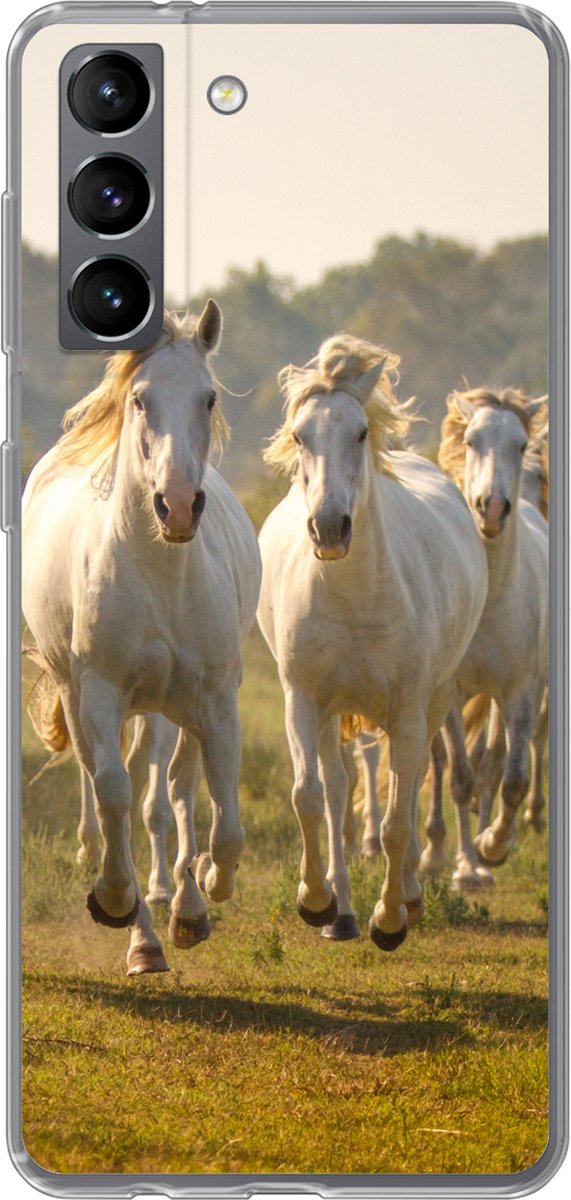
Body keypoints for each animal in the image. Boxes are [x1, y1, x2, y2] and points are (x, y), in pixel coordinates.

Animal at [23, 304, 261, 975]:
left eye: (208, 398)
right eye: (138, 399)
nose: (177, 505)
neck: (159, 573)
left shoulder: (216, 701)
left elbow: (223, 824)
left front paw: (204, 893)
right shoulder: (101, 693)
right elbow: (113, 795)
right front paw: (117, 903)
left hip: (173, 707)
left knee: (175, 787)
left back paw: (184, 907)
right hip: (85, 696)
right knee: (113, 787)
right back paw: (145, 935)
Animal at [257, 334, 488, 948]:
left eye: (360, 433)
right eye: (299, 435)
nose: (329, 528)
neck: (355, 599)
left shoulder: (407, 709)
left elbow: (396, 822)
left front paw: (390, 920)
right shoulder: (303, 699)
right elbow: (310, 797)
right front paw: (315, 901)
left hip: (433, 702)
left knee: (414, 784)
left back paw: (407, 896)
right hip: (334, 713)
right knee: (337, 792)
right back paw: (341, 913)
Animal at [420, 388, 548, 886]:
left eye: (521, 444)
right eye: (471, 441)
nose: (491, 508)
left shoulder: (519, 692)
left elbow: (508, 777)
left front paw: (492, 847)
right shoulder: (453, 692)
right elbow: (459, 775)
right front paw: (466, 868)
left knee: (495, 761)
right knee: (442, 761)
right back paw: (438, 851)